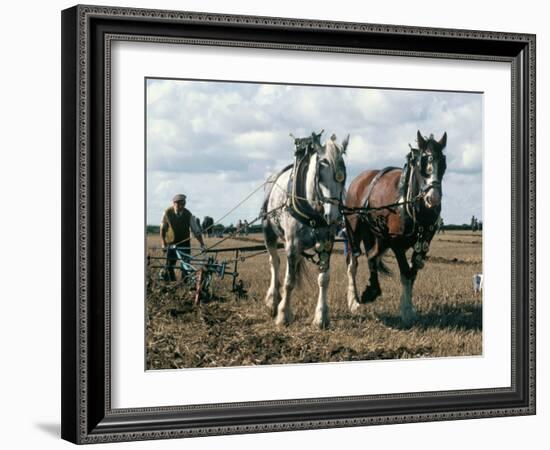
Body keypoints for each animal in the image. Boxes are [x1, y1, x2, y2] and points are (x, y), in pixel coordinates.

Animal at [262, 130, 350, 326]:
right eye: (320, 174)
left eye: (343, 176)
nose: (333, 216)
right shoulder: (292, 244)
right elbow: (289, 281)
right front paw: (283, 314)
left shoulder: (326, 242)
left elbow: (324, 279)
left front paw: (321, 316)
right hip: (269, 233)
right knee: (274, 262)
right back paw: (273, 300)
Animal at [350, 130, 448, 324]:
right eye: (422, 162)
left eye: (443, 163)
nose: (433, 198)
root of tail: (360, 178)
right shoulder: (396, 243)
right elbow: (405, 274)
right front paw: (407, 311)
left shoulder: (423, 244)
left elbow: (412, 274)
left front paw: (406, 307)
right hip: (354, 229)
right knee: (353, 263)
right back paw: (353, 301)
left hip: (379, 236)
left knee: (372, 256)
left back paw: (372, 291)